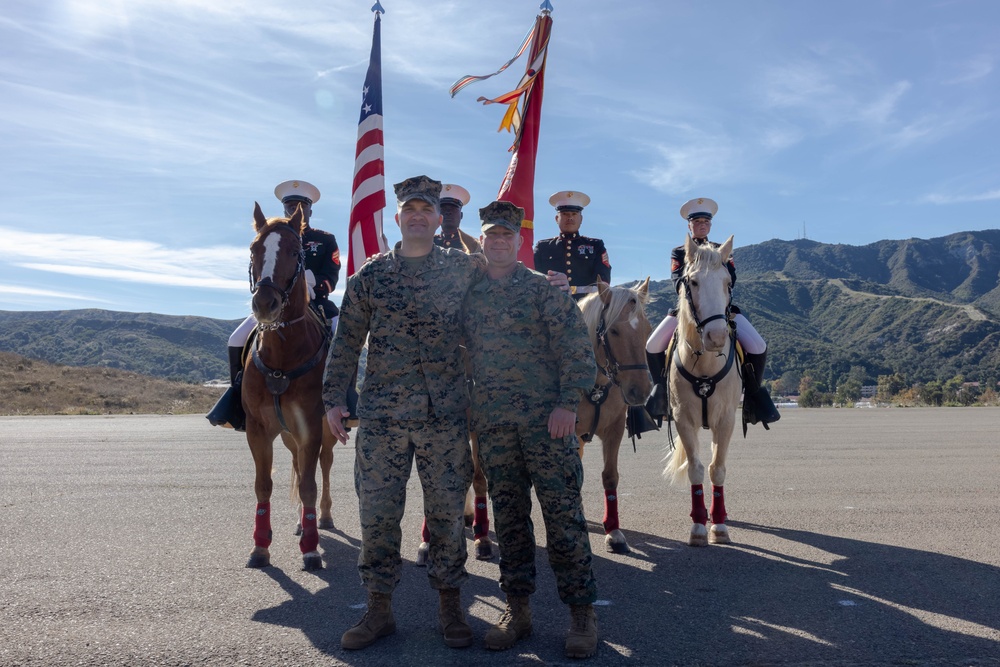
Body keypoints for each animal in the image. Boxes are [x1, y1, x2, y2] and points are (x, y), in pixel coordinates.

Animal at [242, 202, 336, 568]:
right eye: (254, 249)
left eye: (297, 252)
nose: (264, 304)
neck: (283, 354)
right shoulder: (258, 429)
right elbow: (262, 485)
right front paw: (260, 546)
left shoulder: (310, 427)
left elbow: (309, 485)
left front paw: (310, 549)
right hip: (288, 435)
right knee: (298, 464)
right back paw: (299, 522)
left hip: (326, 431)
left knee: (323, 467)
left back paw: (323, 518)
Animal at [576, 276, 652, 552]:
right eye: (614, 331)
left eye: (648, 329)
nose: (641, 390)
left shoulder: (615, 429)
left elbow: (610, 477)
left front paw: (614, 531)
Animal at [664, 235, 744, 548]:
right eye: (694, 282)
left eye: (727, 282)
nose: (717, 337)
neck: (706, 365)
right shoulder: (684, 420)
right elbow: (696, 469)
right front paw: (699, 526)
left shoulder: (726, 421)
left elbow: (717, 469)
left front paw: (719, 525)